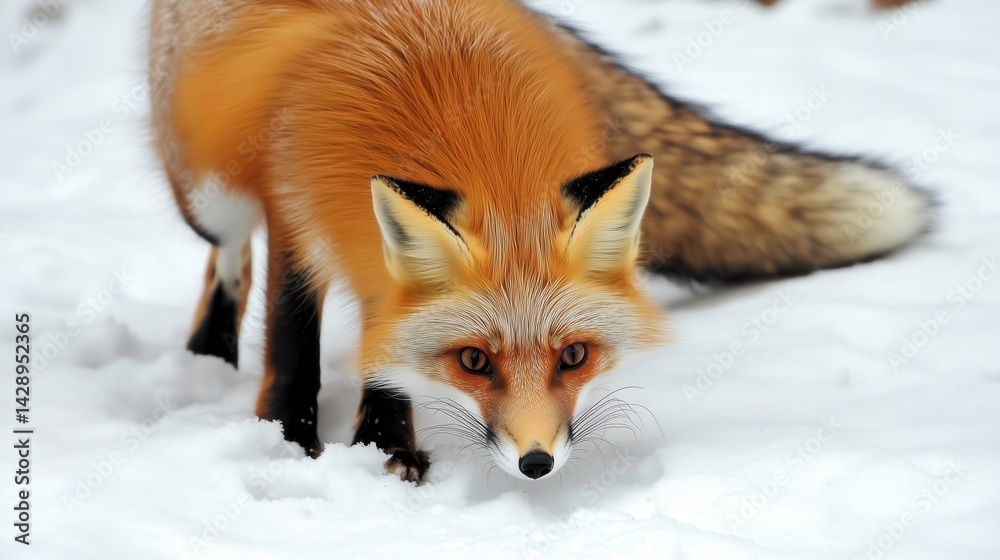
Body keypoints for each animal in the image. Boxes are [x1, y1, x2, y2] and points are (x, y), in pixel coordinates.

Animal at [149, 0, 931, 482]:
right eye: (473, 362)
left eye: (575, 357)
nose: (536, 465)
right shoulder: (295, 213)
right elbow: (290, 344)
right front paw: (287, 440)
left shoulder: (386, 272)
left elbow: (388, 353)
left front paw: (385, 447)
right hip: (209, 194)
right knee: (228, 257)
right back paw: (209, 352)